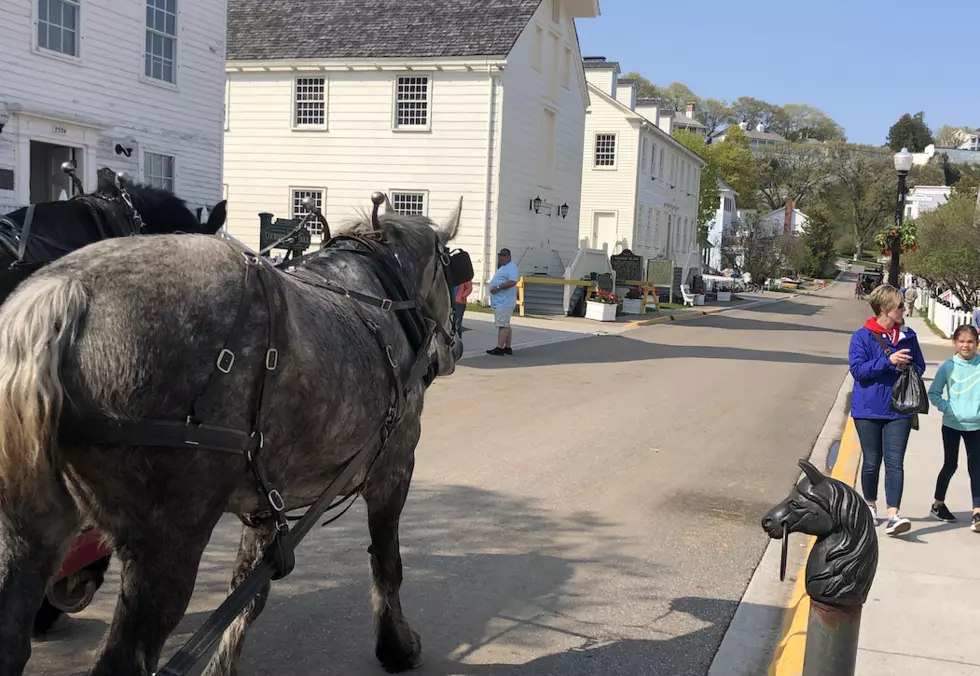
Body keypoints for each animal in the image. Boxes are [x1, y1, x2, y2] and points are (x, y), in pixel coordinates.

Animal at [0, 202, 464, 676]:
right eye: (449, 268)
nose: (452, 348)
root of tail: (62, 292)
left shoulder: (265, 501)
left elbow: (248, 594)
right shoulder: (394, 468)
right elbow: (387, 562)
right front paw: (397, 647)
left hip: (26, 533)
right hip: (167, 542)